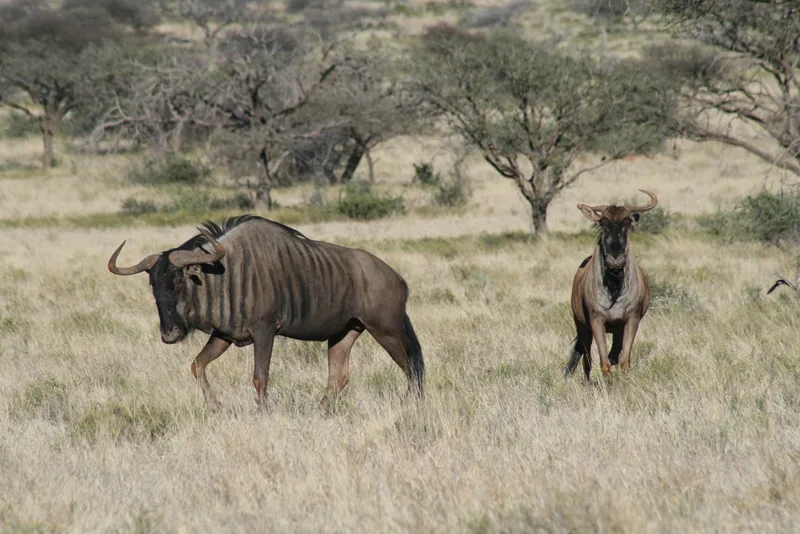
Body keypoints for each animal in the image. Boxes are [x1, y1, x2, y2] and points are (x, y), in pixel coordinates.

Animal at [565, 190, 658, 380]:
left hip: (616, 331)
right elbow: (604, 363)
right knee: (587, 358)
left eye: (627, 222)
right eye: (602, 223)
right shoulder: (596, 321)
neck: (614, 287)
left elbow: (623, 362)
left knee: (613, 355)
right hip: (582, 327)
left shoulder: (630, 321)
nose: (615, 262)